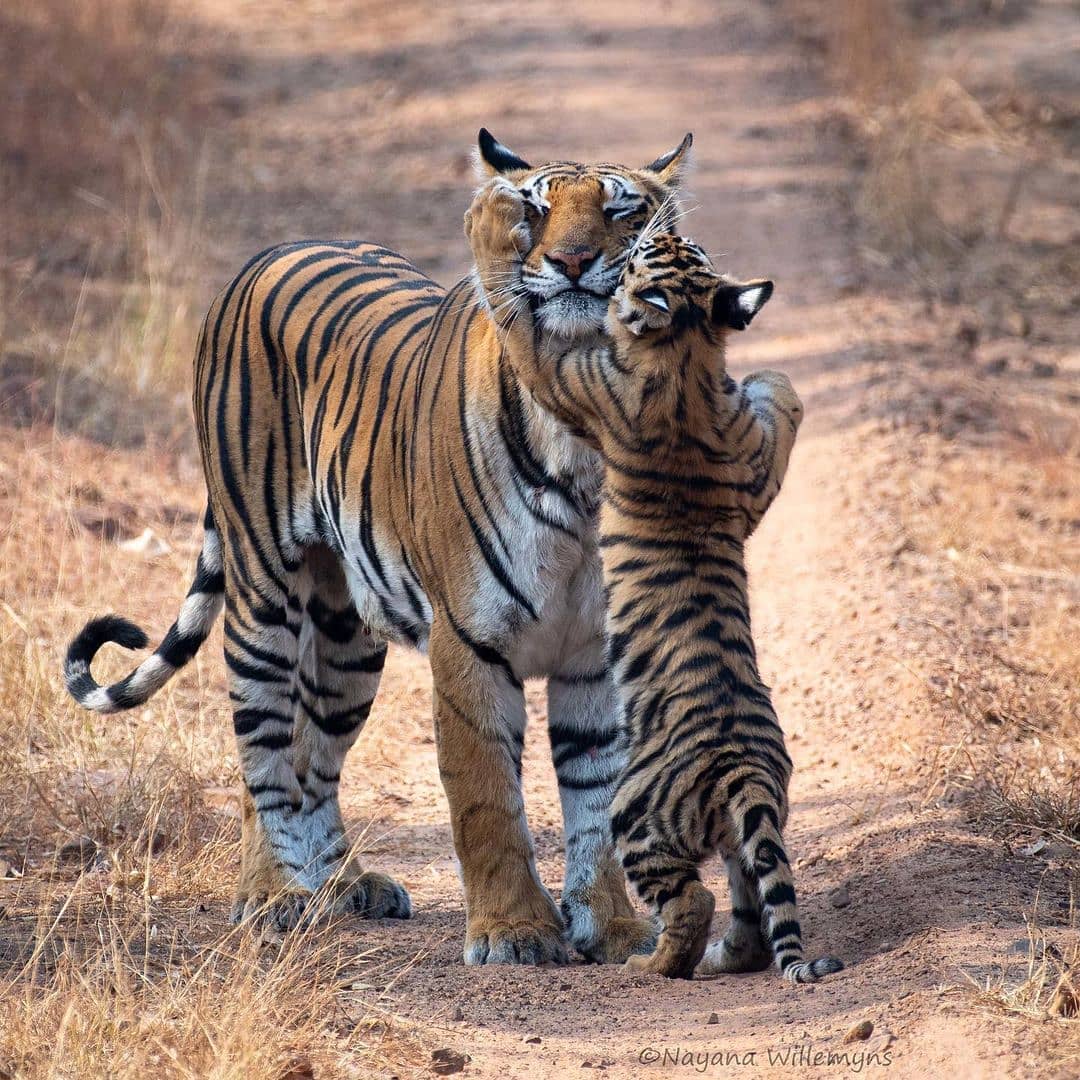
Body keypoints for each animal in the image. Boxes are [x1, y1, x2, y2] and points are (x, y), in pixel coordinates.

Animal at [62, 128, 696, 967]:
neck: (585, 426)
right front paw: (515, 932)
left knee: (310, 755)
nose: (571, 262)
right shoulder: (470, 643)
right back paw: (273, 896)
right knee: (262, 746)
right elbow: (486, 798)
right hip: (262, 592)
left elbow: (600, 801)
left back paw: (343, 885)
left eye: (622, 211)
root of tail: (279, 247)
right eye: (534, 210)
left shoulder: (594, 650)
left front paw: (613, 926)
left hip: (345, 635)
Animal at [465, 179, 844, 983]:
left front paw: (493, 222)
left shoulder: (568, 379)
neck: (688, 349)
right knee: (753, 898)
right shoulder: (752, 471)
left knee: (691, 901)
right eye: (680, 247)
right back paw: (728, 958)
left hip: (633, 813)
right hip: (754, 824)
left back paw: (652, 964)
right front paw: (766, 376)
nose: (658, 219)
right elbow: (779, 397)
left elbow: (521, 326)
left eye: (651, 250)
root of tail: (742, 769)